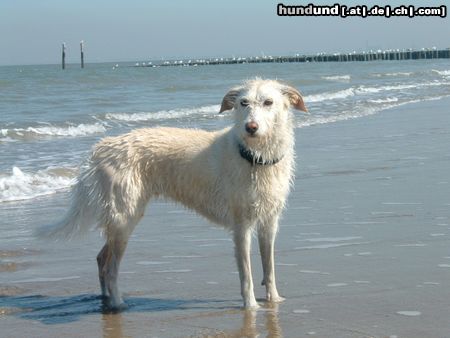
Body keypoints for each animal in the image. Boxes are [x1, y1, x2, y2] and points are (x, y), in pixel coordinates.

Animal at [38, 78, 308, 308]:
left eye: (268, 102)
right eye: (243, 103)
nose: (250, 127)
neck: (255, 157)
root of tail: (101, 149)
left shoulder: (269, 222)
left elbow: (269, 266)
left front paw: (274, 300)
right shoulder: (241, 226)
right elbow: (247, 274)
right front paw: (251, 307)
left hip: (120, 219)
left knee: (101, 258)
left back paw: (105, 299)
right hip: (125, 218)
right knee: (110, 267)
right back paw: (117, 303)